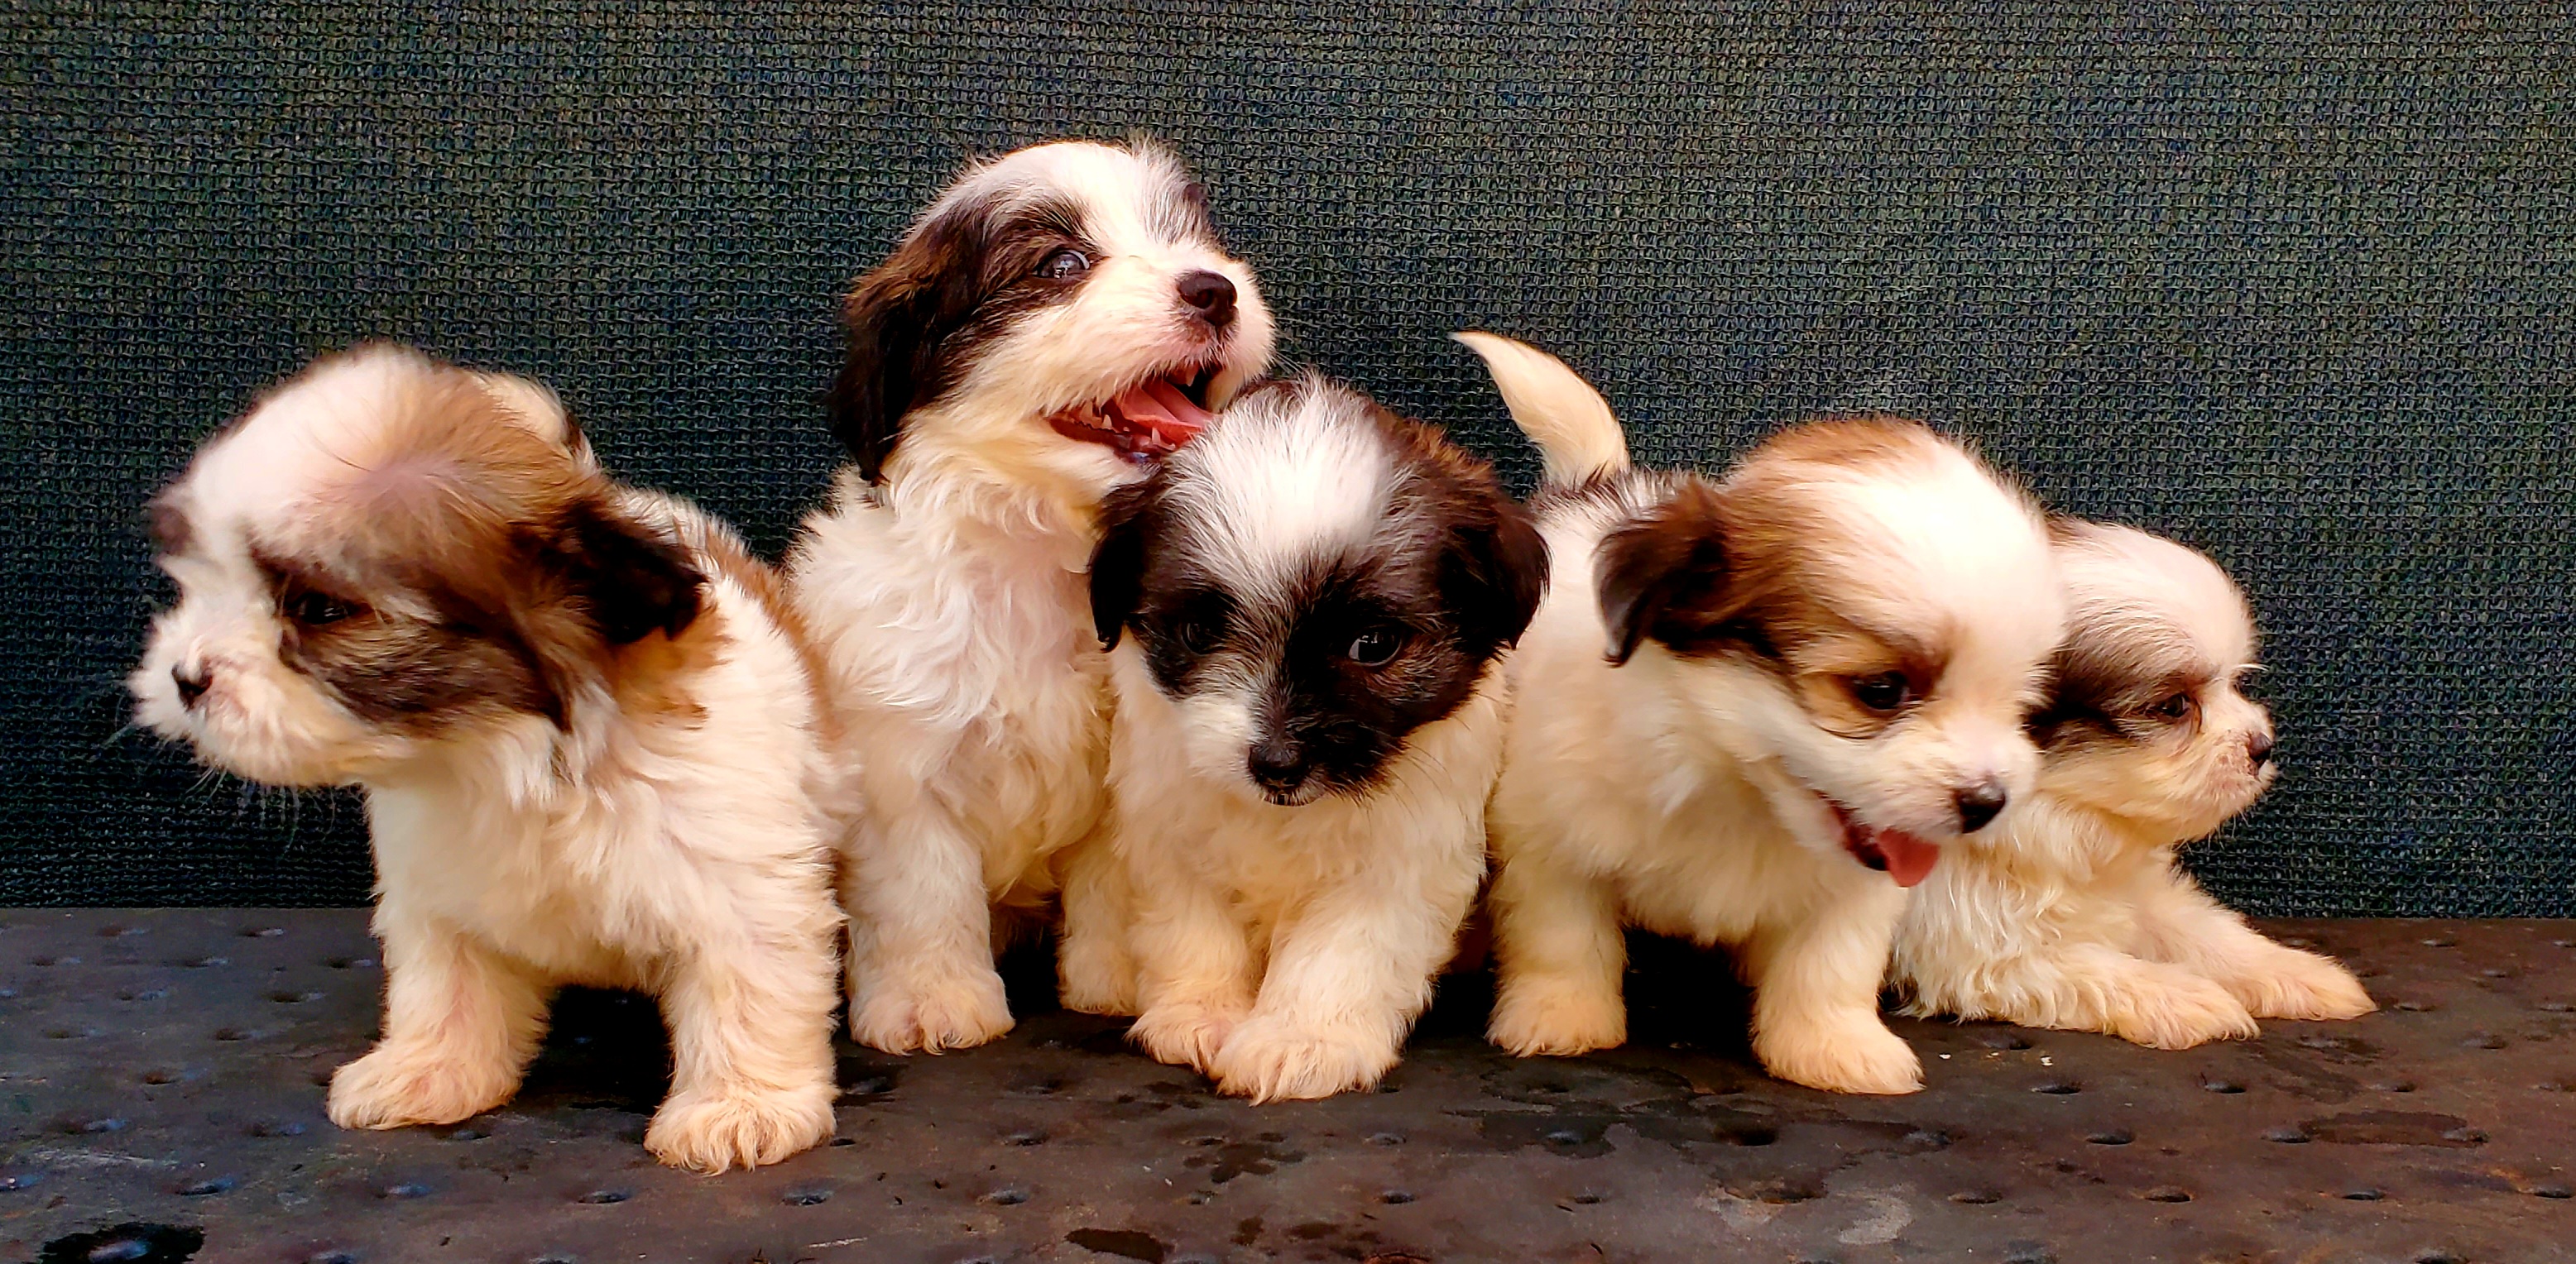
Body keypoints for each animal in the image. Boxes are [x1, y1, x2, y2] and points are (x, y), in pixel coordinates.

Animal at [130, 345, 842, 1171]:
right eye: (199, 582)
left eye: (320, 608)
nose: (186, 678)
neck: (500, 757)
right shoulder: (439, 891)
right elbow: (447, 986)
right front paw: (430, 1068)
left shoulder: (738, 881)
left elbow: (746, 986)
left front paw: (740, 1106)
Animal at [787, 138, 1274, 1053]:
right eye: (1061, 265)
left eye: (1189, 239)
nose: (1214, 288)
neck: (1039, 561)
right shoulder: (901, 762)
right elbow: (925, 889)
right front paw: (932, 996)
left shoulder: (1125, 767)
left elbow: (1115, 881)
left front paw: (1113, 978)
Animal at [1082, 372, 1547, 1100]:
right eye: (1197, 633)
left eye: (1373, 645)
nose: (1276, 761)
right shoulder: (1170, 833)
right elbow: (1194, 924)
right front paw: (1201, 1015)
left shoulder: (1400, 860)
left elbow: (1341, 951)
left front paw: (1300, 1041)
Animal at [1458, 332, 2064, 1095]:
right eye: (1879, 689)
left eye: (2022, 704)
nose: (1987, 802)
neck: (1734, 784)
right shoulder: (1549, 830)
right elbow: (1560, 933)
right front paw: (1560, 1016)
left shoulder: (1856, 885)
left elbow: (1830, 962)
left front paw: (1834, 1045)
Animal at [1892, 519, 2375, 1046]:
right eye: (2174, 706)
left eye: (2233, 684)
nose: (2262, 746)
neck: (2058, 817)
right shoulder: (1979, 951)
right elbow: (2090, 970)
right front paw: (2183, 997)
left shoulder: (2140, 895)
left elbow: (2203, 934)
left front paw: (2295, 972)